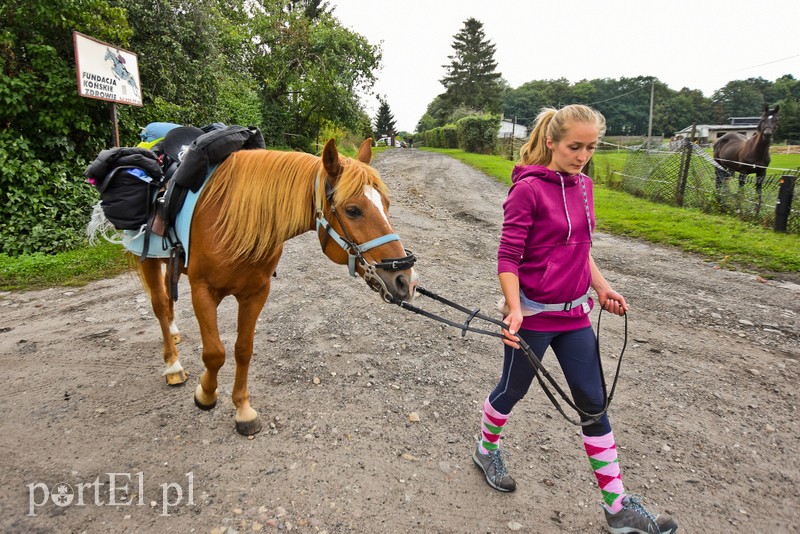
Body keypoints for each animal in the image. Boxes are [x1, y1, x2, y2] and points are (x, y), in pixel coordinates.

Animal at [135, 140, 418, 438]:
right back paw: (172, 365)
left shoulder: (256, 293)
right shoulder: (202, 291)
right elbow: (214, 353)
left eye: (386, 204)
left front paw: (243, 409)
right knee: (160, 305)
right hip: (150, 262)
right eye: (353, 210)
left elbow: (243, 350)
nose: (406, 279)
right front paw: (206, 394)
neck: (231, 217)